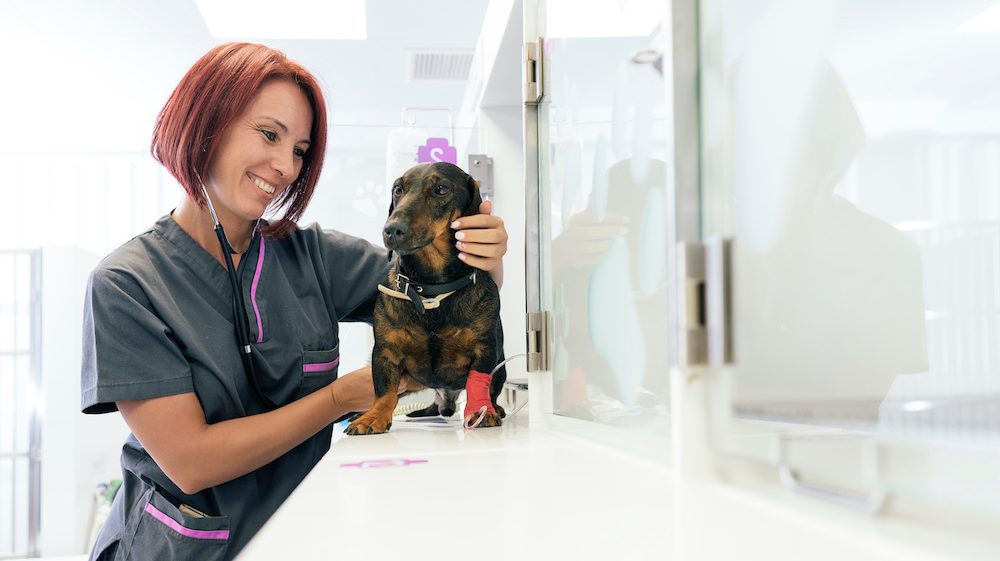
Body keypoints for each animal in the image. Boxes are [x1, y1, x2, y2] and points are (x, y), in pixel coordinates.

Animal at [348, 162, 508, 434]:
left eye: (441, 189)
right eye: (398, 189)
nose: (392, 230)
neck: (431, 290)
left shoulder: (485, 349)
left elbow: (479, 382)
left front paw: (481, 410)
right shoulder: (385, 352)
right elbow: (385, 391)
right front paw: (374, 416)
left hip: (502, 368)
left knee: (494, 391)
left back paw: (495, 407)